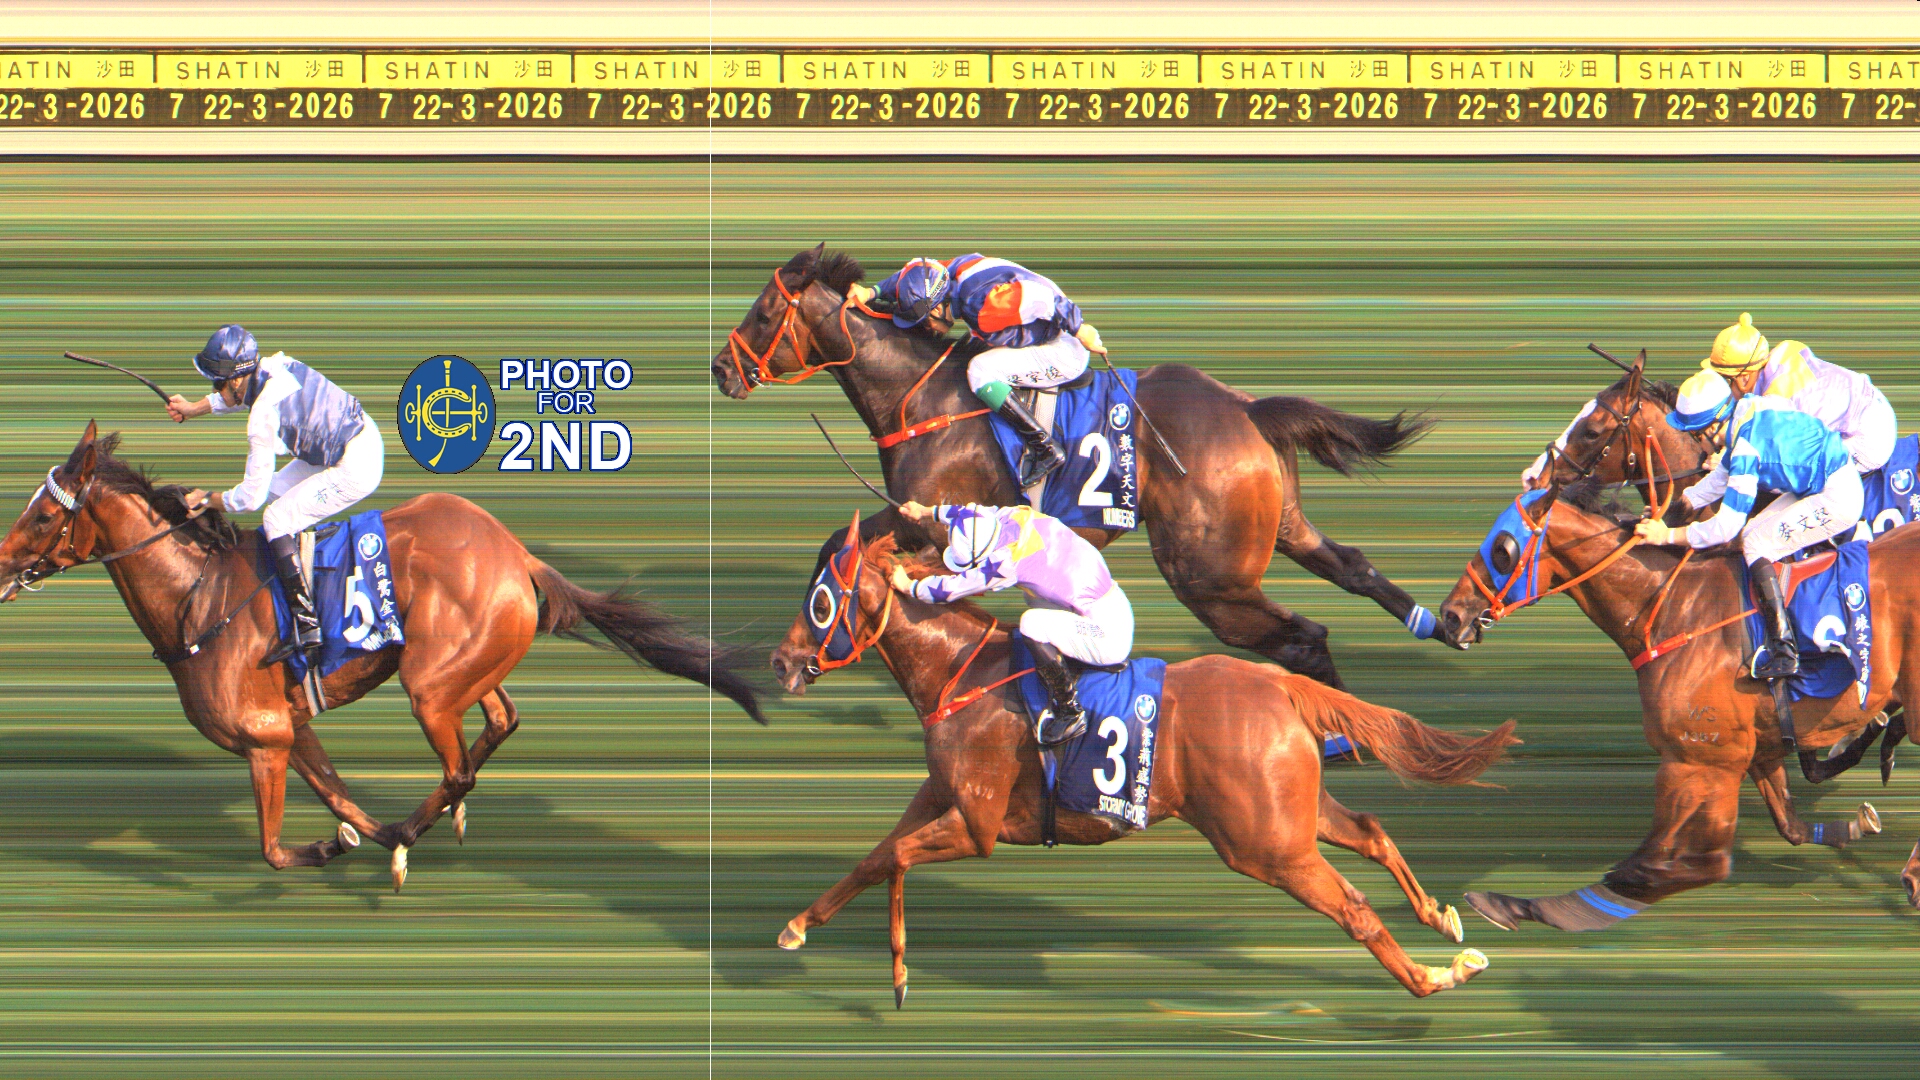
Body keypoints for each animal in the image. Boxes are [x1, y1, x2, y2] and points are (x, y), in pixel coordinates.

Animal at [0, 423, 766, 890]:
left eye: (44, 514)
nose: (3, 562)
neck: (200, 597)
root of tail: (517, 554)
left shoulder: (265, 738)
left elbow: (274, 849)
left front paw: (345, 845)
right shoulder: (290, 729)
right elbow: (344, 800)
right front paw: (371, 834)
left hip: (429, 685)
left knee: (460, 767)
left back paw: (423, 830)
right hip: (468, 668)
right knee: (502, 719)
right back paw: (430, 825)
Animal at [713, 244, 1437, 690]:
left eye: (765, 311)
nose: (721, 368)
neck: (919, 398)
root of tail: (1248, 409)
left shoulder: (935, 520)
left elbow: (862, 553)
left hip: (1212, 575)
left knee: (1302, 635)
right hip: (1277, 527)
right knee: (1351, 567)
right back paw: (1435, 628)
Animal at [765, 527, 1518, 1003]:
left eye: (821, 599)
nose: (779, 661)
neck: (961, 673)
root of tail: (1282, 685)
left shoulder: (976, 824)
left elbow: (896, 859)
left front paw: (897, 976)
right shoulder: (940, 794)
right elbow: (874, 858)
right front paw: (798, 925)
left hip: (1265, 845)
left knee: (1356, 909)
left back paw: (1433, 978)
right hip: (1287, 817)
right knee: (1370, 830)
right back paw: (1439, 920)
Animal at [1434, 480, 1919, 930]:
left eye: (1503, 549)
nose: (1451, 616)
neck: (1673, 609)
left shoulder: (1700, 764)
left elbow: (1664, 868)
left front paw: (1529, 906)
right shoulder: (1751, 749)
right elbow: (1791, 827)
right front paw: (1853, 824)